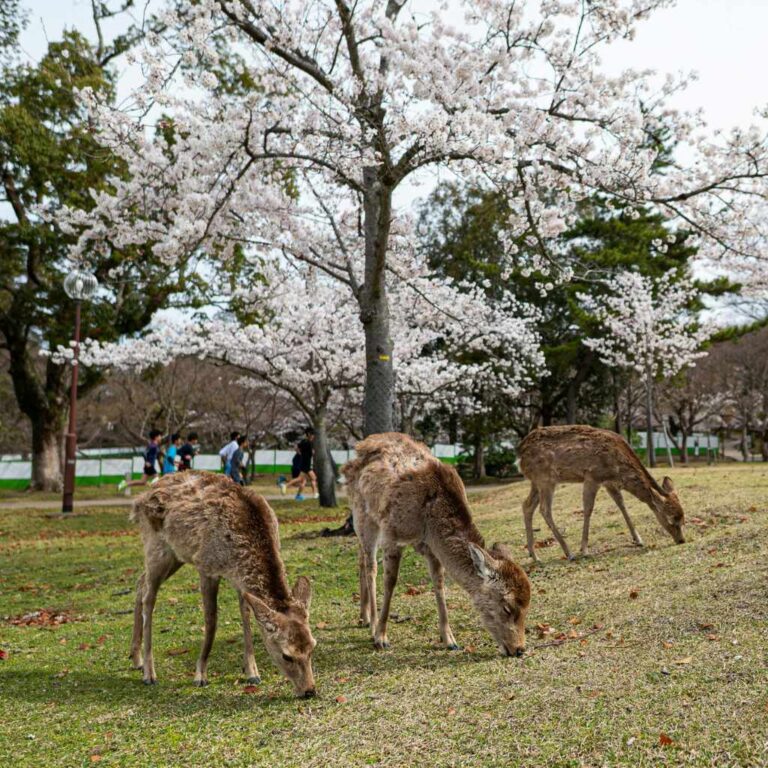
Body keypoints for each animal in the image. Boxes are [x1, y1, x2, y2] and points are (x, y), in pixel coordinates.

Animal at [129, 471, 317, 698]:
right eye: (286, 655)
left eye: (312, 647)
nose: (309, 690)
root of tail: (139, 501)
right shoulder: (206, 566)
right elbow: (211, 621)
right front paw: (200, 675)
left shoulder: (240, 580)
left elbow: (246, 614)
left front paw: (252, 672)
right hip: (156, 546)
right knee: (149, 597)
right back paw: (149, 672)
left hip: (176, 555)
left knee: (140, 582)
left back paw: (136, 659)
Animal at [342, 432, 531, 657]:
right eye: (507, 607)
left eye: (527, 606)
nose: (519, 649)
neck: (429, 523)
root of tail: (357, 451)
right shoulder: (392, 534)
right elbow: (390, 582)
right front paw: (381, 637)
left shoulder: (431, 549)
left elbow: (439, 583)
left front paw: (449, 639)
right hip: (362, 514)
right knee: (371, 565)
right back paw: (372, 625)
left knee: (360, 557)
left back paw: (364, 617)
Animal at [518, 425, 686, 562]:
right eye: (671, 519)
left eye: (683, 519)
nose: (681, 540)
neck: (619, 468)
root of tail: (520, 456)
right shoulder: (593, 476)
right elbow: (588, 509)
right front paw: (584, 550)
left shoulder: (609, 482)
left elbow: (621, 504)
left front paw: (638, 539)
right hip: (545, 479)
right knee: (544, 509)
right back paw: (569, 553)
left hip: (536, 482)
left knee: (527, 505)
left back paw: (534, 555)